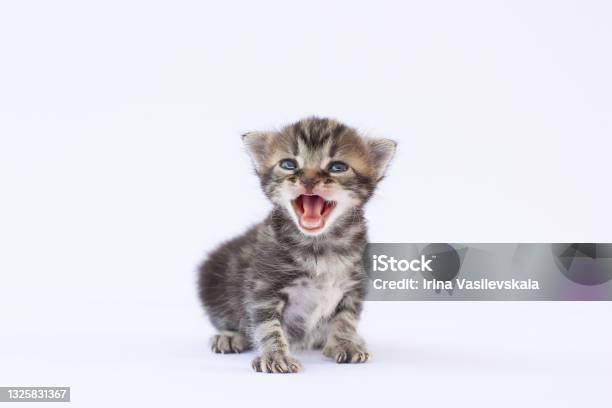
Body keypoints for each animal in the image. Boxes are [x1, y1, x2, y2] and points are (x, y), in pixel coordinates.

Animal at [197, 117, 396, 372]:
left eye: (337, 167)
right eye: (288, 164)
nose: (308, 179)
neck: (320, 245)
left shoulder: (354, 285)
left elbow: (346, 317)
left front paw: (345, 343)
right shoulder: (264, 285)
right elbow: (267, 324)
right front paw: (275, 355)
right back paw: (230, 336)